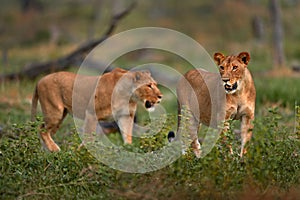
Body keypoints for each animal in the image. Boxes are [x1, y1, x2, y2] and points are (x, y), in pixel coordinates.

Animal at [31, 68, 163, 152]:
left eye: (155, 84)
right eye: (149, 85)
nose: (160, 96)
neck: (128, 95)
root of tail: (39, 80)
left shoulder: (125, 116)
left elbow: (127, 134)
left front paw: (128, 149)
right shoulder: (91, 114)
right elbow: (89, 137)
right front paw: (83, 154)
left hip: (60, 116)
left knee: (47, 132)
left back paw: (47, 152)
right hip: (54, 112)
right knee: (41, 129)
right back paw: (55, 150)